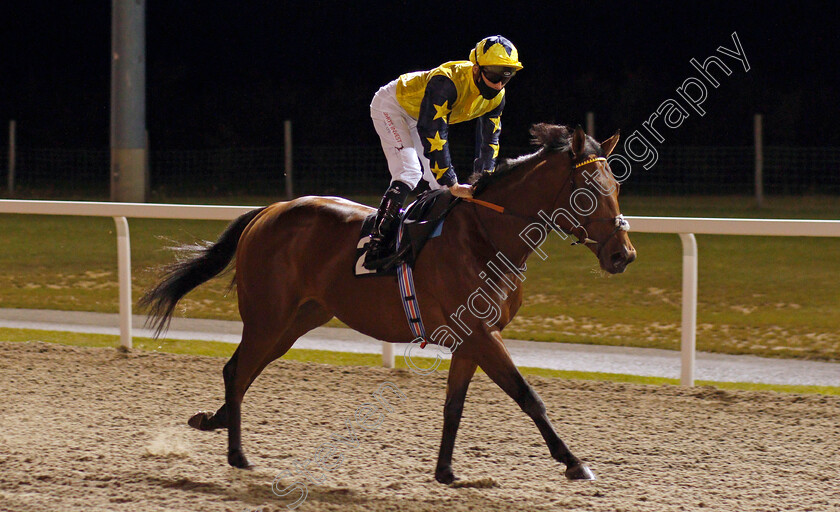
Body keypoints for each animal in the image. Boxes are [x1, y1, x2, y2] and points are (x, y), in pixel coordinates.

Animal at [141, 123, 632, 484]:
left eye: (616, 186)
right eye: (590, 188)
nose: (623, 255)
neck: (486, 237)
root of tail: (267, 210)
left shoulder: (472, 339)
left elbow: (454, 405)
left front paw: (445, 471)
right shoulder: (480, 334)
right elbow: (528, 396)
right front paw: (574, 462)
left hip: (297, 320)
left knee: (244, 371)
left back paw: (213, 422)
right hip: (267, 314)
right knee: (237, 370)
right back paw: (237, 453)